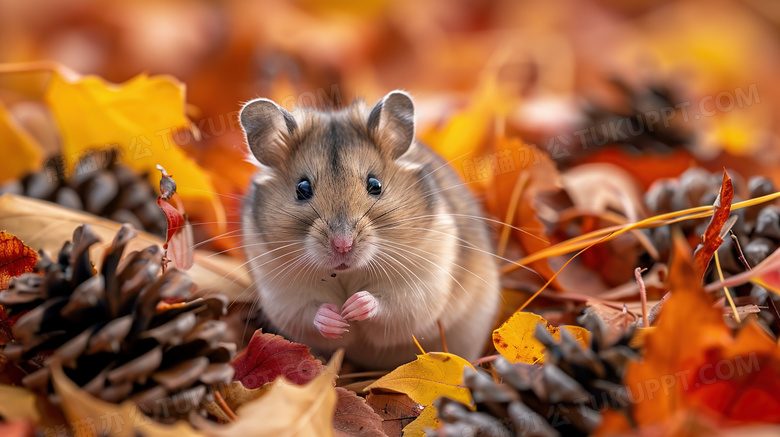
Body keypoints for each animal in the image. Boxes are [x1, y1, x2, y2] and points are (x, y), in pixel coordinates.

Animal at [241, 91, 502, 368]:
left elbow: (391, 305)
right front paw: (337, 318)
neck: (347, 273)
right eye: (302, 189)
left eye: (375, 184)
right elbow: (309, 312)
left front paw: (353, 307)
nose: (343, 245)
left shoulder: (423, 282)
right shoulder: (283, 294)